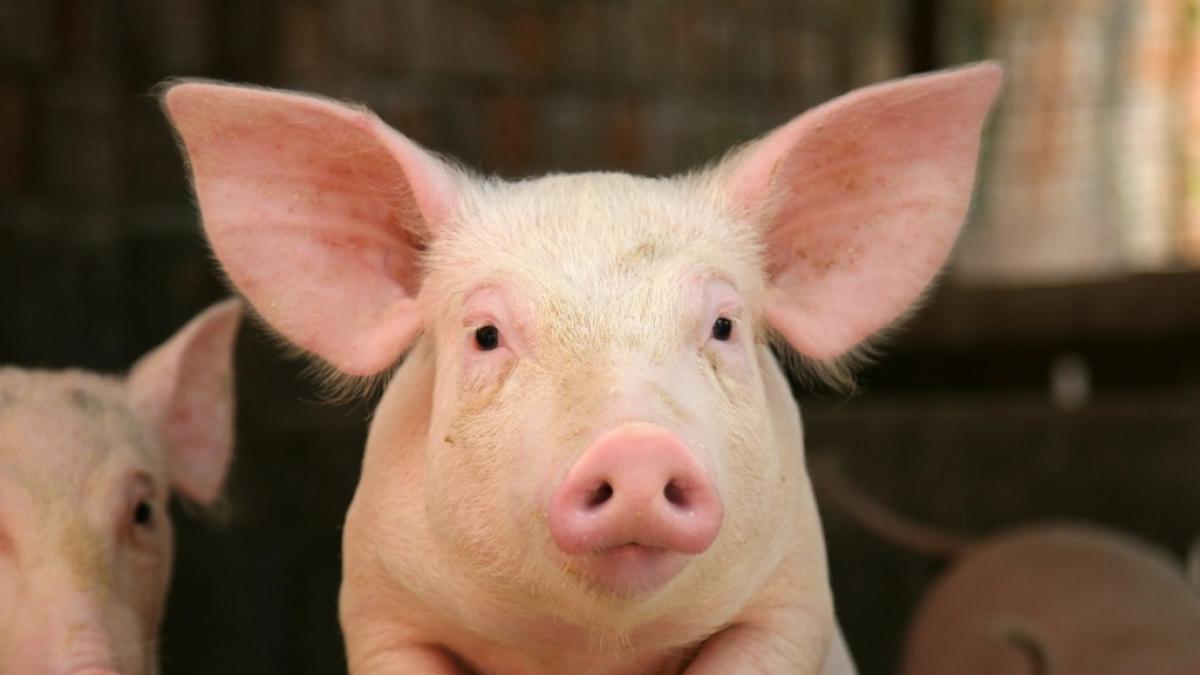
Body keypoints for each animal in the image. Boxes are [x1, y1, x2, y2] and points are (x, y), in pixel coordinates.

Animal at [160, 62, 1002, 674]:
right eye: (487, 334)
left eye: (723, 325)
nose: (636, 446)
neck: (590, 649)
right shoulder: (379, 607)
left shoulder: (791, 595)